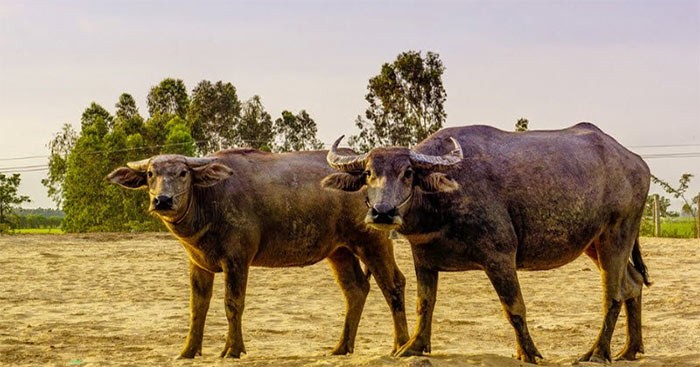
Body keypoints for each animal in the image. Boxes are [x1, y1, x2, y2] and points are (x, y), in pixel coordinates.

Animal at [106, 149, 408, 360]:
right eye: (150, 174)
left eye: (183, 173)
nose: (163, 200)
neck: (209, 201)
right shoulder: (198, 264)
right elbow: (197, 307)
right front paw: (188, 351)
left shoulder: (237, 260)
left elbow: (232, 304)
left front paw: (232, 349)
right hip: (339, 251)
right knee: (356, 289)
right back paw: (341, 347)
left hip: (372, 240)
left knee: (394, 284)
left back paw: (402, 345)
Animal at [322, 122, 652, 364]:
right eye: (368, 173)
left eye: (408, 172)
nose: (383, 212)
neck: (443, 199)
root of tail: (636, 163)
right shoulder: (424, 259)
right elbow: (424, 304)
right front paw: (414, 346)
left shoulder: (500, 257)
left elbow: (514, 308)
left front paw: (529, 353)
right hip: (593, 243)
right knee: (633, 283)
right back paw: (630, 349)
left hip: (616, 234)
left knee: (613, 292)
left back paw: (597, 352)